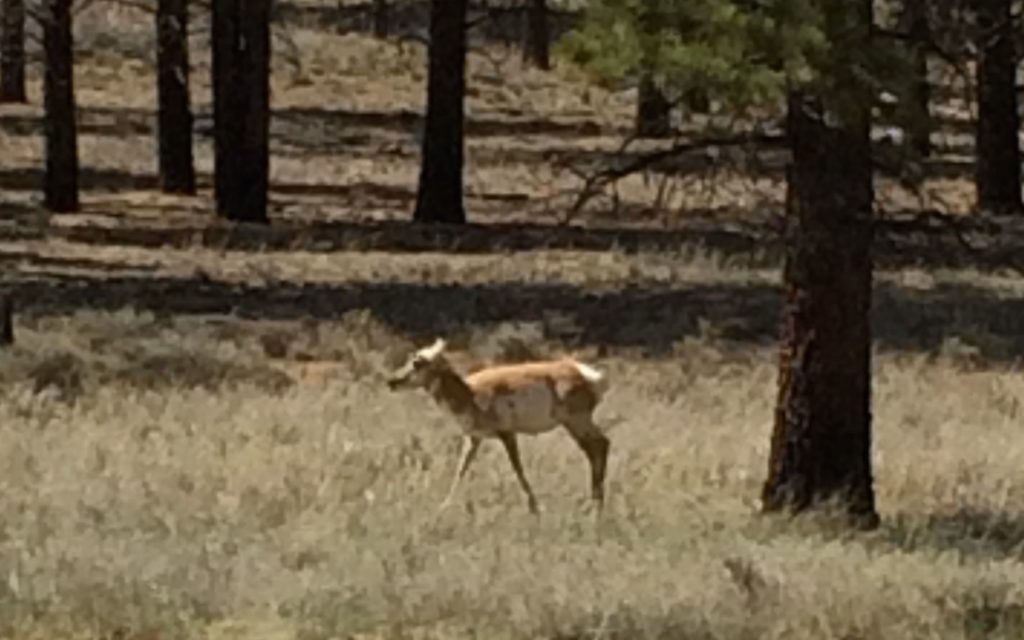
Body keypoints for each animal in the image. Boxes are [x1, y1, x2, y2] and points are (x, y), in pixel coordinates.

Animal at [386, 338, 612, 514]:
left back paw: (595, 506)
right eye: (409, 359)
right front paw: (444, 506)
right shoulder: (473, 438)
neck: (470, 394)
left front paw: (535, 507)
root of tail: (584, 373)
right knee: (596, 447)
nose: (392, 381)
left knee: (600, 445)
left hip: (576, 420)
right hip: (575, 423)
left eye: (417, 363)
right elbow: (461, 468)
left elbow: (517, 468)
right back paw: (595, 504)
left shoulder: (507, 434)